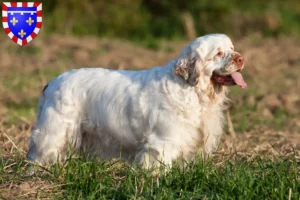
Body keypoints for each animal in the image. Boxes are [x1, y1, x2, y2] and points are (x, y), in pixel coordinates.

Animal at [27, 34, 246, 167]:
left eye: (232, 48)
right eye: (218, 53)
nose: (241, 58)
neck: (191, 90)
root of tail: (52, 82)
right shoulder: (163, 141)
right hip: (54, 132)